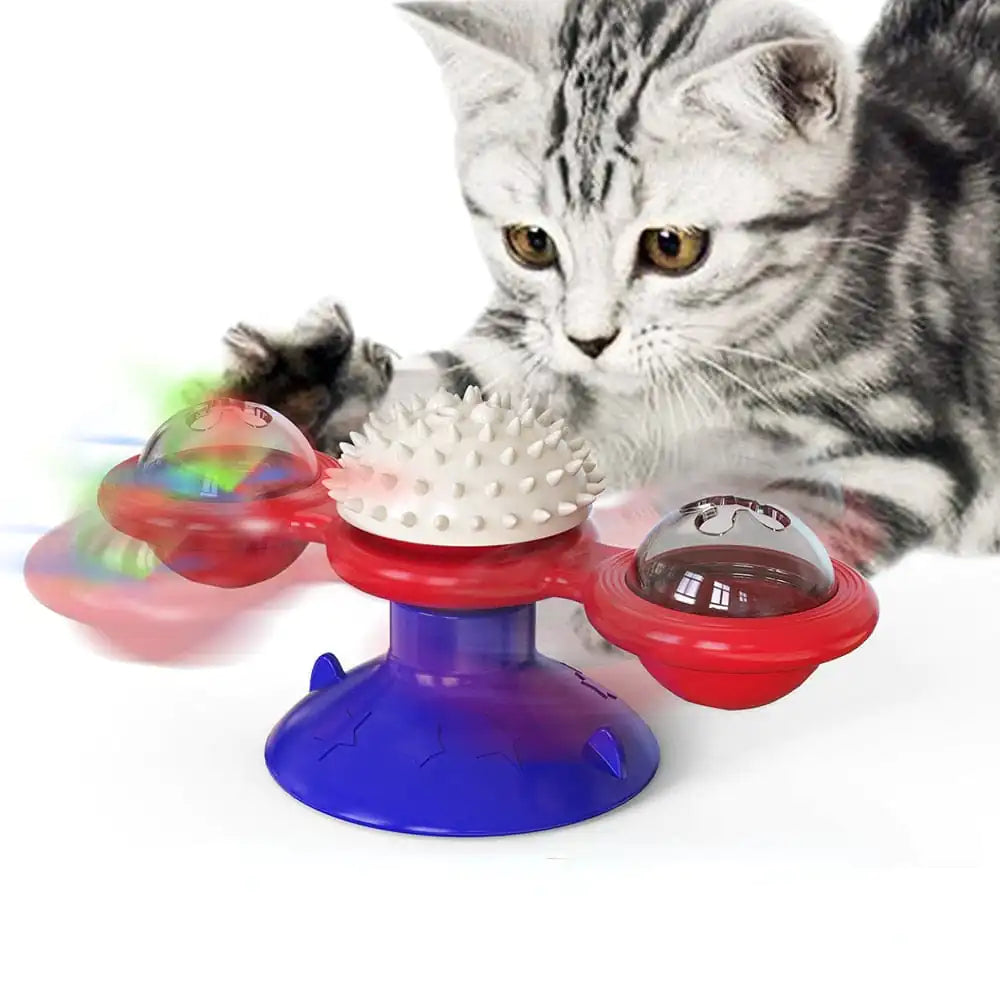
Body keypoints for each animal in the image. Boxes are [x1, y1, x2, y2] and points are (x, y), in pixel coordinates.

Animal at [225, 0, 1000, 580]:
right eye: (532, 243)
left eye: (672, 247)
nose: (590, 339)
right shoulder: (528, 356)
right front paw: (310, 384)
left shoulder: (918, 454)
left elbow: (781, 507)